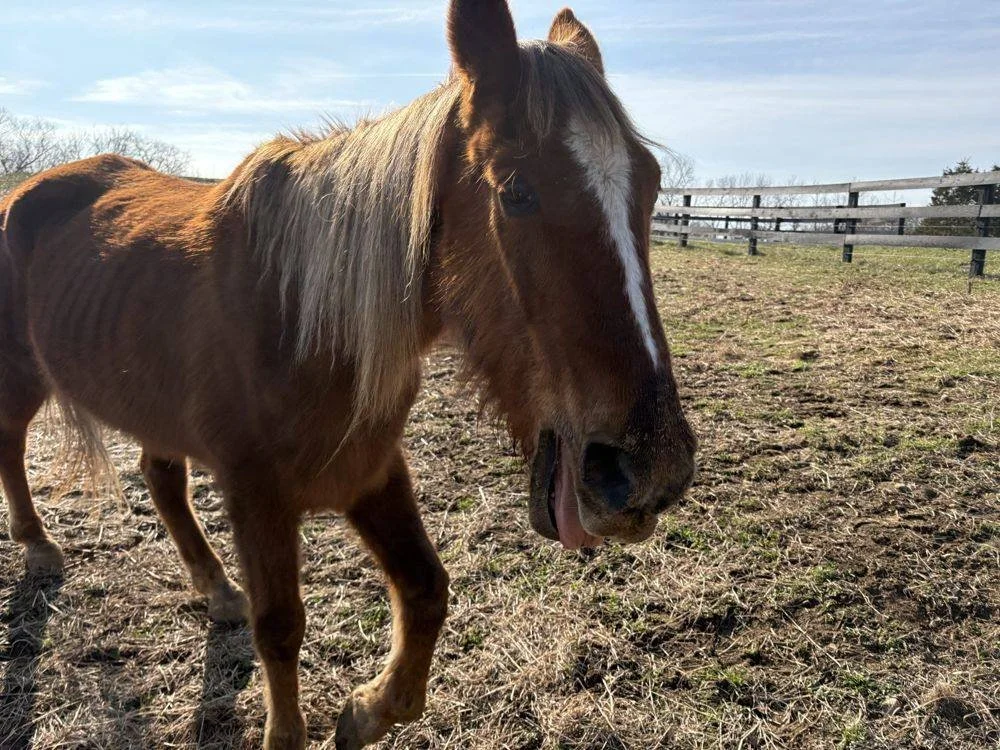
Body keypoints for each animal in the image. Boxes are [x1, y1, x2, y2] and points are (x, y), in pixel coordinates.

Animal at [0, 2, 697, 747]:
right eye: (516, 192)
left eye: (652, 184)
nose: (649, 471)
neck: (303, 315)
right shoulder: (257, 494)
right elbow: (280, 627)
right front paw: (290, 732)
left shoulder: (370, 469)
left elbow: (426, 590)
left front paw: (368, 711)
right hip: (23, 378)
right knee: (12, 446)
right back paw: (38, 546)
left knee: (160, 478)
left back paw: (216, 589)